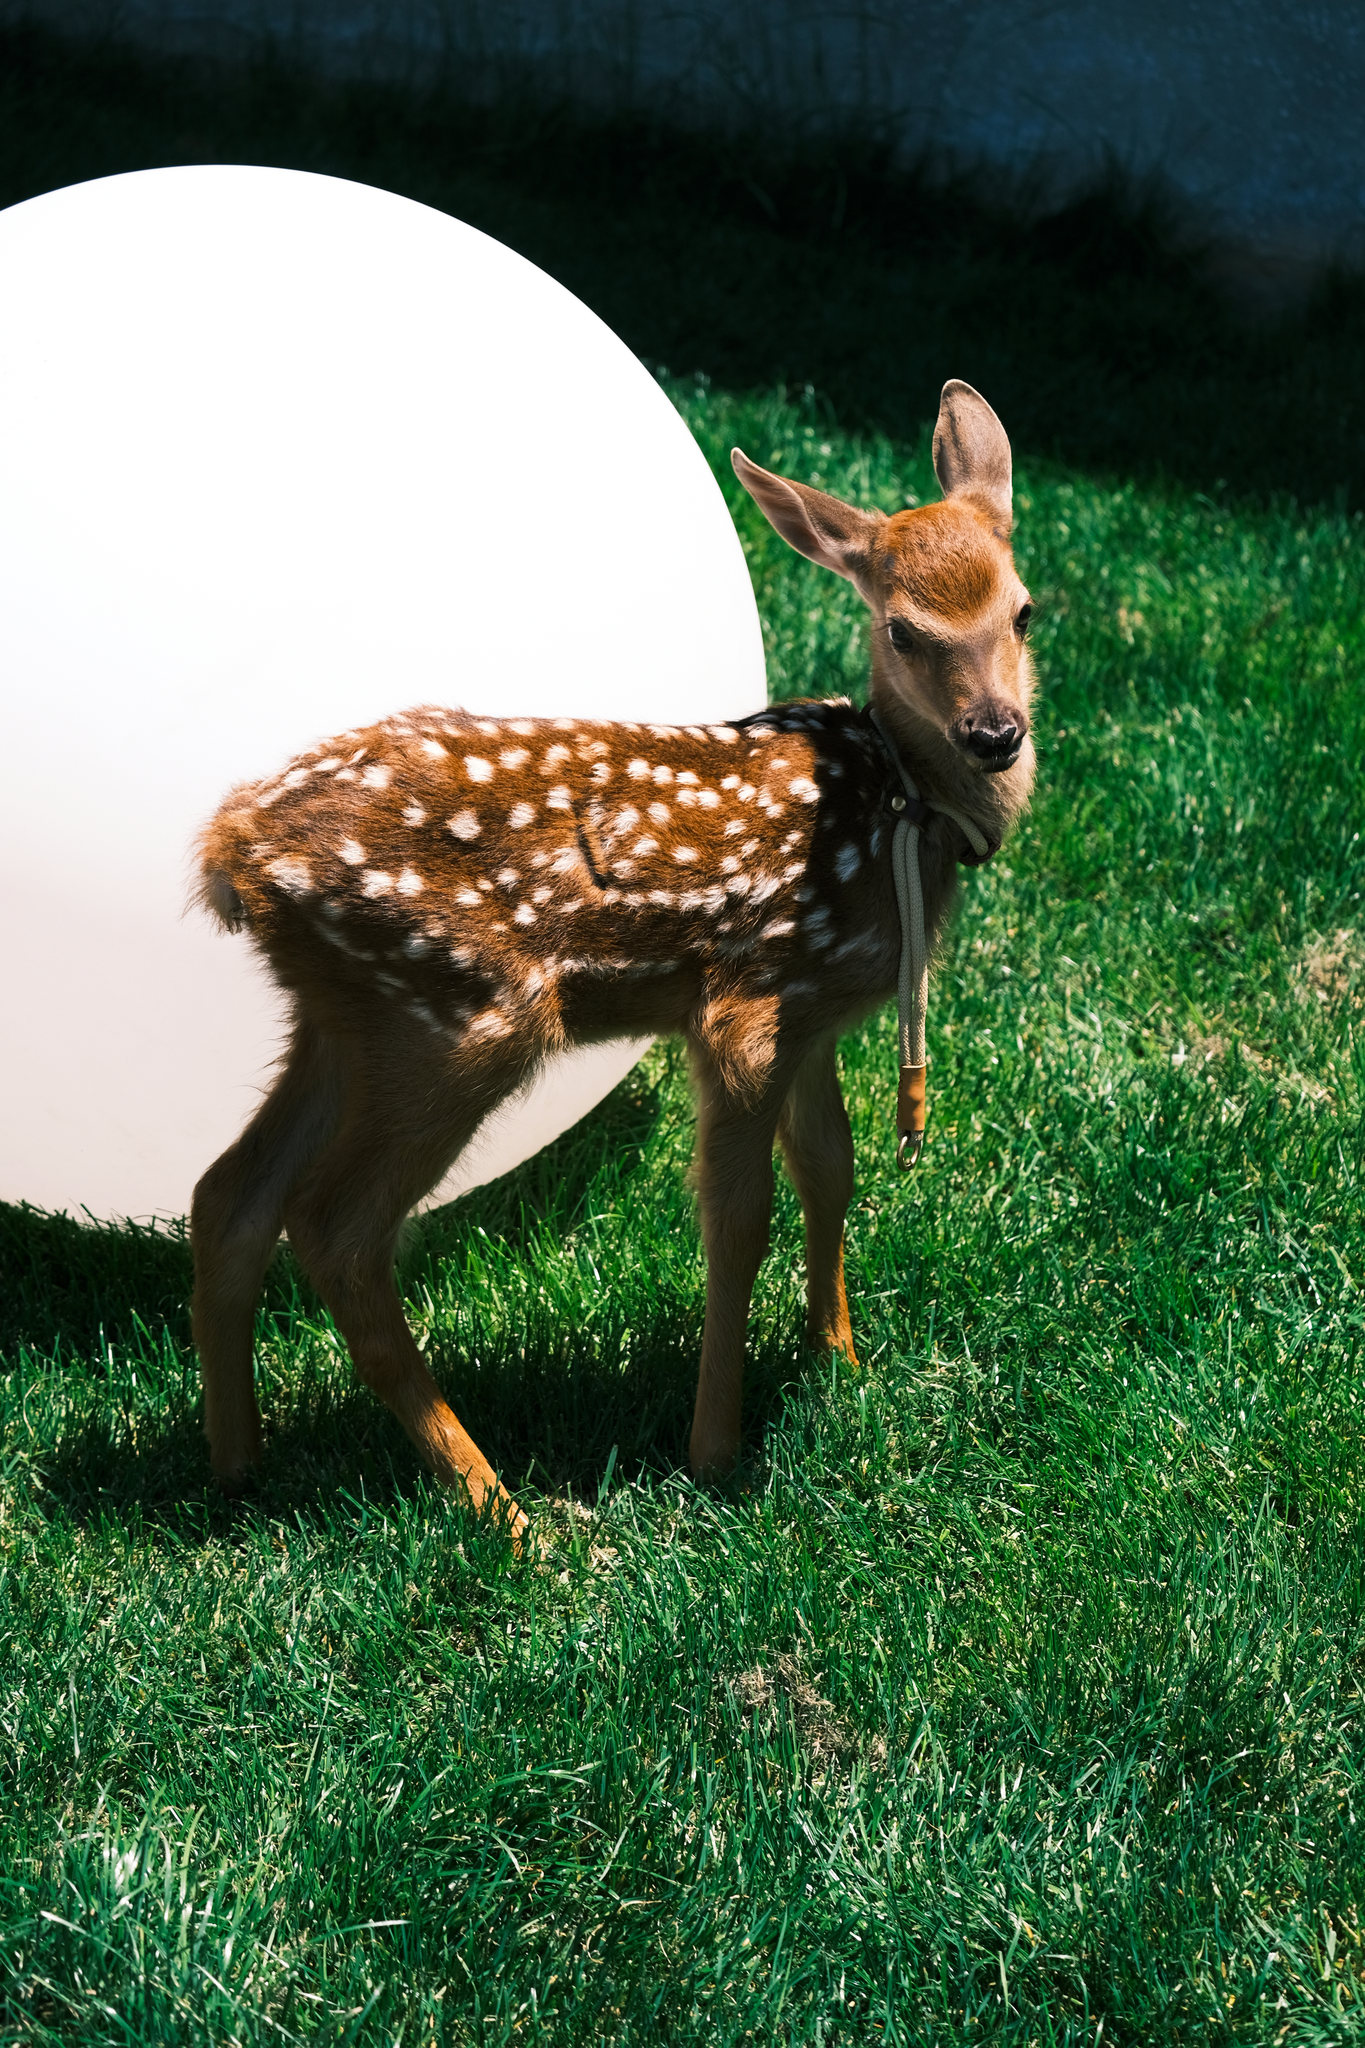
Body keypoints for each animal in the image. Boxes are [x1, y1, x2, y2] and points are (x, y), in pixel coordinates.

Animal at [192, 380, 1035, 1540]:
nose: (996, 732)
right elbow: (737, 1219)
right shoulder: (745, 1006)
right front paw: (715, 1447)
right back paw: (499, 1506)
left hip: (342, 1016)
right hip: (460, 1014)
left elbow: (831, 1168)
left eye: (1023, 610)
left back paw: (238, 1466)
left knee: (229, 1193)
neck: (893, 808)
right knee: (336, 1229)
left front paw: (840, 1357)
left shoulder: (815, 1010)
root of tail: (231, 849)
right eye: (905, 631)